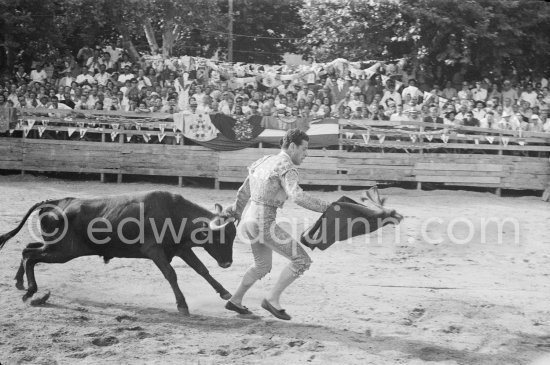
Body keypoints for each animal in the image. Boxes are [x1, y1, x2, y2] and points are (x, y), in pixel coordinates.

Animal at [0, 191, 236, 312]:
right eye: (220, 237)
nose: (227, 264)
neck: (173, 213)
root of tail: (55, 202)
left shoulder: (181, 249)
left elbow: (202, 270)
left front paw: (226, 293)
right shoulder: (154, 250)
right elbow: (171, 274)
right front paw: (182, 305)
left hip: (55, 248)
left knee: (26, 250)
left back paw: (20, 282)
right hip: (63, 252)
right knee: (31, 256)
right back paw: (30, 291)